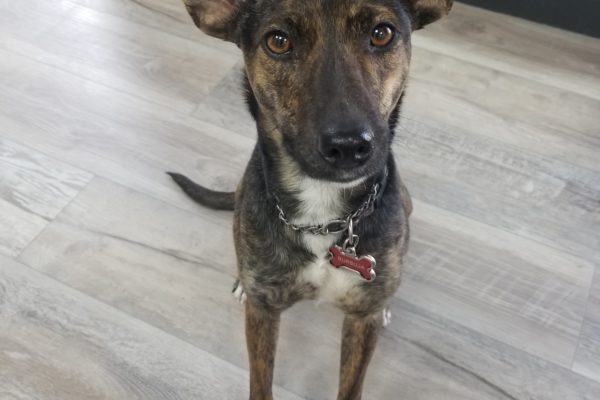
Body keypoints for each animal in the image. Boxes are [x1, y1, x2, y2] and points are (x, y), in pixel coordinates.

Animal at [168, 1, 450, 398]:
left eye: (382, 34)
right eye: (278, 41)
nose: (348, 145)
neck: (323, 212)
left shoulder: (361, 322)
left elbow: (351, 385)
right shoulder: (263, 314)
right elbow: (261, 381)